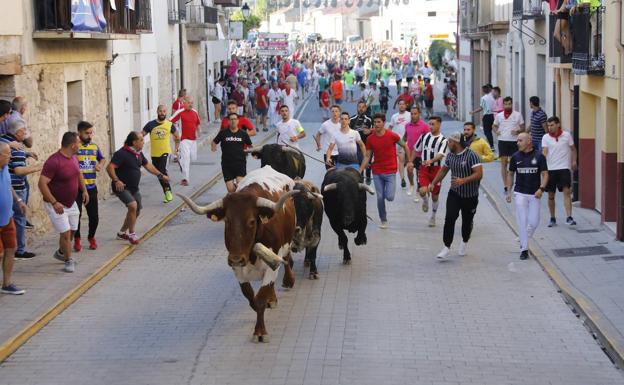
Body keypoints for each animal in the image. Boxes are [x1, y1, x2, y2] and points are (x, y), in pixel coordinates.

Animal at [178, 165, 300, 342]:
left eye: (251, 221)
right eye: (227, 221)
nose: (236, 258)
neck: (251, 255)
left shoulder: (271, 264)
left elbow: (261, 297)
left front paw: (260, 332)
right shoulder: (237, 269)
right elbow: (250, 297)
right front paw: (259, 311)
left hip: (287, 243)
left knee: (287, 259)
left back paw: (288, 281)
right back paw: (272, 298)